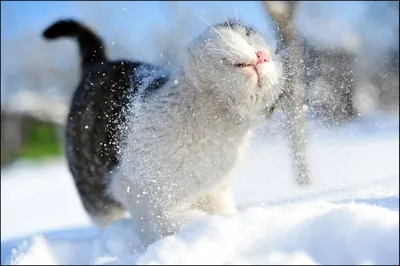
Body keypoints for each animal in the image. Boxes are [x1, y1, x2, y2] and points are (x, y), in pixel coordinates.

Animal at [43, 18, 288, 243]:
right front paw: (200, 228)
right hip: (95, 192)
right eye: (248, 36)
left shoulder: (215, 192)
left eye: (274, 59)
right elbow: (165, 222)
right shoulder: (135, 190)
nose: (263, 55)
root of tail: (99, 64)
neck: (209, 122)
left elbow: (220, 211)